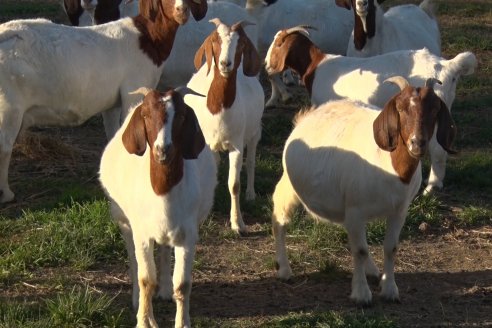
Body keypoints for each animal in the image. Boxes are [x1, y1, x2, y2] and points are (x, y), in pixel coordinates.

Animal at [0, 0, 208, 202]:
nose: (182, 10)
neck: (147, 37)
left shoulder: (112, 104)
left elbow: (114, 132)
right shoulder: (134, 90)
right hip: (9, 108)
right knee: (5, 146)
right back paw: (7, 194)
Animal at [183, 18, 264, 233]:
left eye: (241, 43)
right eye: (214, 40)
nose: (225, 63)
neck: (218, 110)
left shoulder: (236, 144)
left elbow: (234, 184)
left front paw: (238, 223)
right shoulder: (204, 144)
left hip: (255, 131)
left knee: (251, 161)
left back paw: (251, 194)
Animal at [266, 27, 476, 195]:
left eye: (278, 43)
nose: (267, 65)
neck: (316, 66)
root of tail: (448, 66)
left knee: (438, 150)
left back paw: (432, 187)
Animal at [270, 76, 456, 304]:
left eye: (435, 109)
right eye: (401, 108)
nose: (417, 143)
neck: (390, 165)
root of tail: (306, 116)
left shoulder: (398, 211)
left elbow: (390, 248)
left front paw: (389, 289)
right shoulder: (355, 209)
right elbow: (359, 250)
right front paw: (361, 294)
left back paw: (372, 270)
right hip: (290, 185)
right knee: (280, 219)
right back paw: (284, 269)